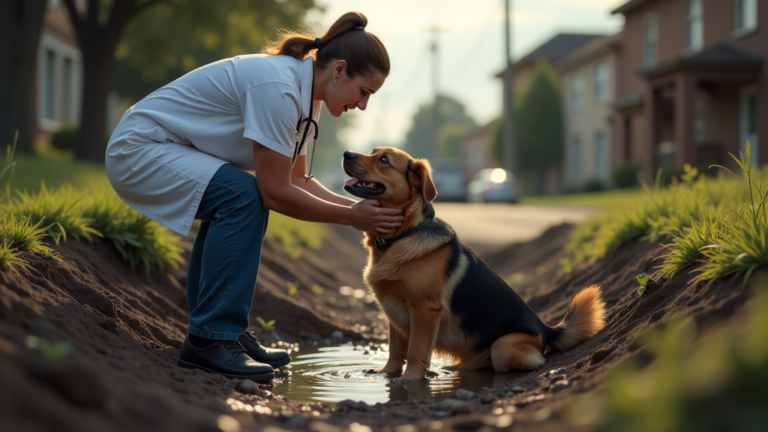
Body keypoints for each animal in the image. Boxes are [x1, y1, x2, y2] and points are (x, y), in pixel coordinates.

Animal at [342, 147, 608, 380]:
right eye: (373, 151)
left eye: (384, 160)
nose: (346, 154)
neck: (402, 236)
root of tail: (546, 328)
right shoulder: (392, 309)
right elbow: (395, 350)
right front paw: (387, 374)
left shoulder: (424, 309)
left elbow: (416, 351)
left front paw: (410, 380)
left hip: (502, 347)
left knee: (532, 361)